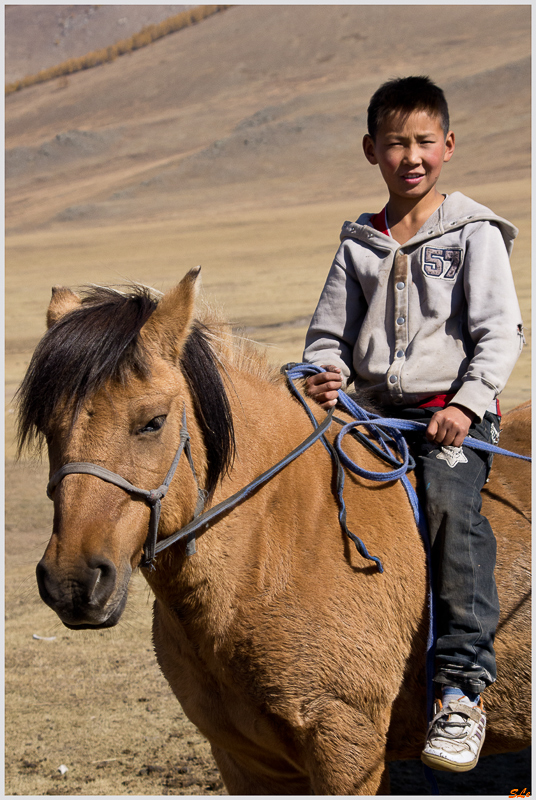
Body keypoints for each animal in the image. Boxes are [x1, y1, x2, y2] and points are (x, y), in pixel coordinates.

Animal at [18, 268, 528, 792]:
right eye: (46, 426)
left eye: (152, 422)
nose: (72, 582)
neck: (273, 549)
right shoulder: (245, 760)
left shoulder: (348, 748)